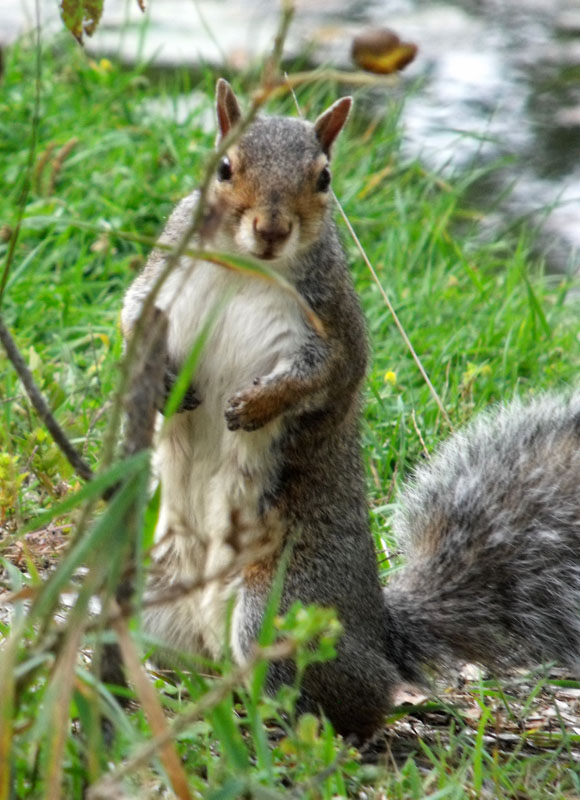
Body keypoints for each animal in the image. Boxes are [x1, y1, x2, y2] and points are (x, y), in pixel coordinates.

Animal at [120, 78, 580, 740]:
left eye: (325, 177)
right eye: (224, 167)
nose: (271, 229)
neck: (249, 267)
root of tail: (380, 642)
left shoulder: (332, 323)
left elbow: (325, 376)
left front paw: (258, 405)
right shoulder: (164, 277)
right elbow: (131, 318)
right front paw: (165, 387)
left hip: (282, 609)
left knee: (352, 706)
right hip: (154, 594)